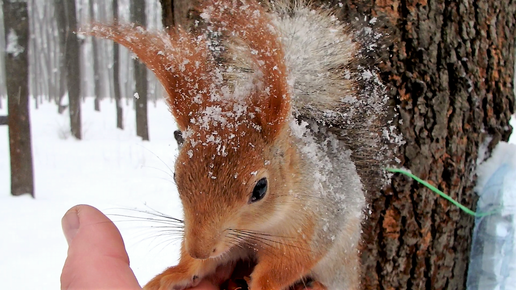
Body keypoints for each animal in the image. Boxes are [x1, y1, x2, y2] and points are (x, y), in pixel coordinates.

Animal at [82, 0, 364, 288]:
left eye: (260, 188)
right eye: (175, 176)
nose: (200, 249)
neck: (257, 228)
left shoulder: (313, 225)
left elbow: (287, 265)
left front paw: (261, 284)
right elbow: (200, 264)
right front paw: (176, 273)